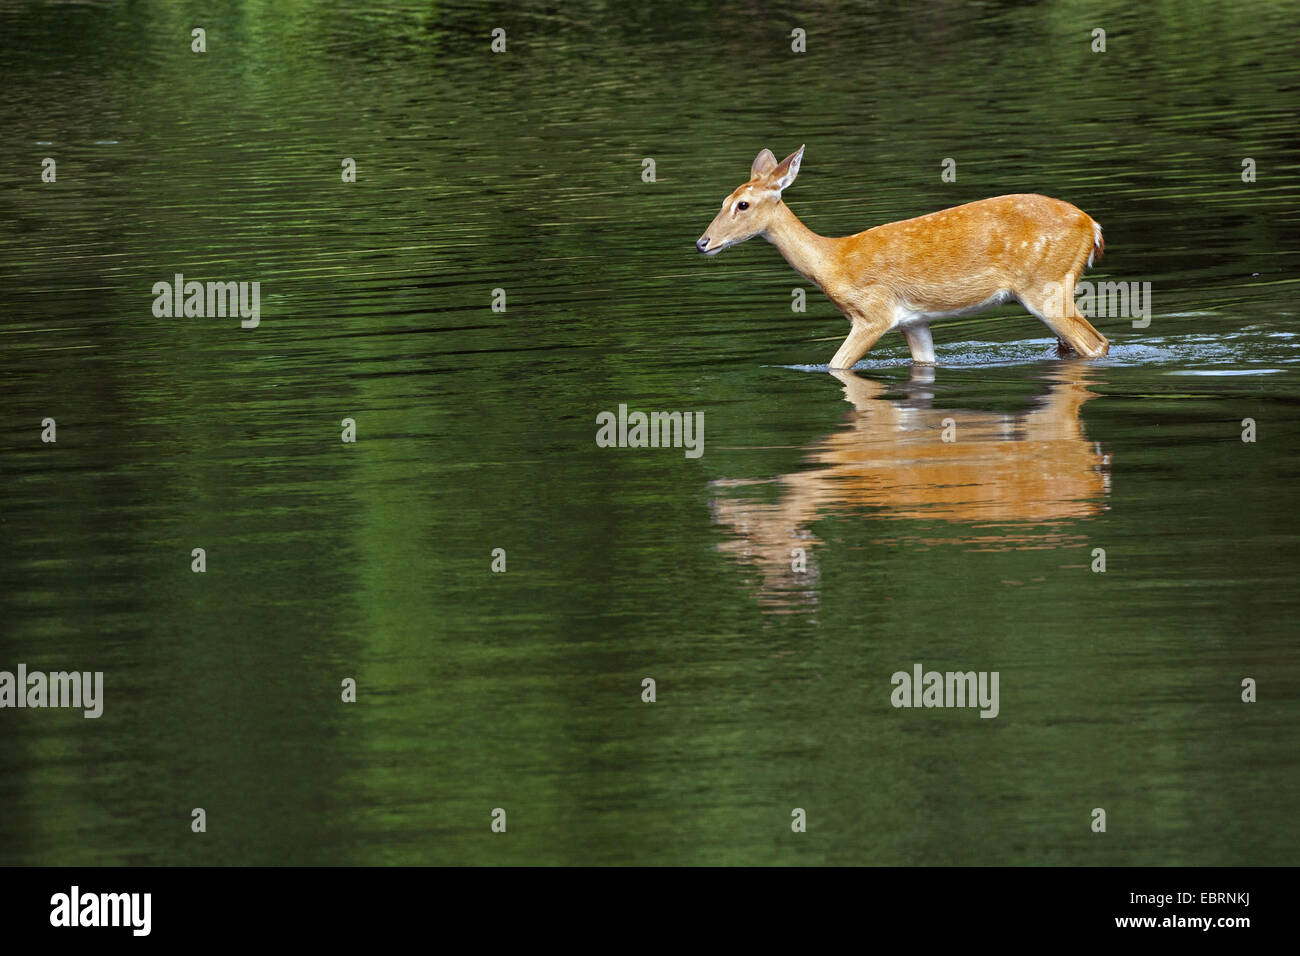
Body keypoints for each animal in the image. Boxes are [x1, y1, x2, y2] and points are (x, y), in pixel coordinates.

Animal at [696, 147, 1112, 369]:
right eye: (723, 200)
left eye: (742, 204)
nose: (703, 242)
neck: (834, 261)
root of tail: (1092, 227)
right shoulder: (914, 321)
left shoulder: (873, 313)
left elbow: (835, 366)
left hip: (1045, 285)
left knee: (1096, 343)